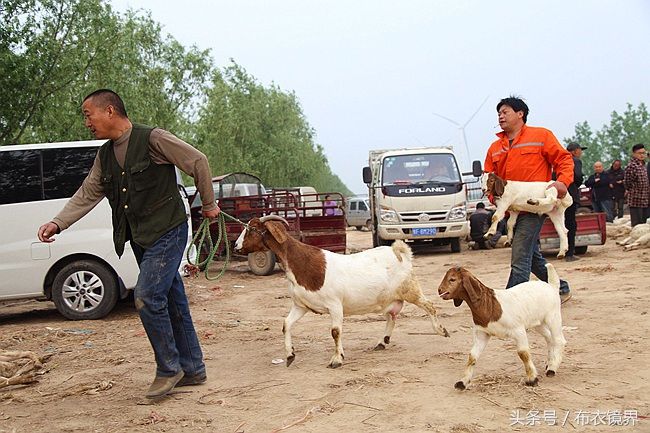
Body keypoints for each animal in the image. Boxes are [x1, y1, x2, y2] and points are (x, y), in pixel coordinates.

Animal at [232, 214, 446, 366]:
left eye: (251, 229)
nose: (235, 245)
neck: (300, 263)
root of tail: (400, 253)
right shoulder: (301, 305)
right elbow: (286, 324)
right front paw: (290, 354)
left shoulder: (335, 305)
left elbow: (335, 332)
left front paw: (337, 359)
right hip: (388, 299)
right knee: (392, 316)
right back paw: (381, 342)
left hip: (411, 289)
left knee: (430, 305)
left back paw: (441, 330)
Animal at [436, 264, 568, 388]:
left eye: (452, 279)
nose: (439, 290)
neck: (489, 304)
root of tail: (551, 286)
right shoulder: (482, 333)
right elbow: (472, 356)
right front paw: (462, 382)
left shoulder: (518, 330)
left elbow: (523, 353)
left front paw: (532, 379)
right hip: (538, 322)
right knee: (549, 337)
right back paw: (550, 363)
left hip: (553, 316)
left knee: (559, 340)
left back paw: (552, 368)